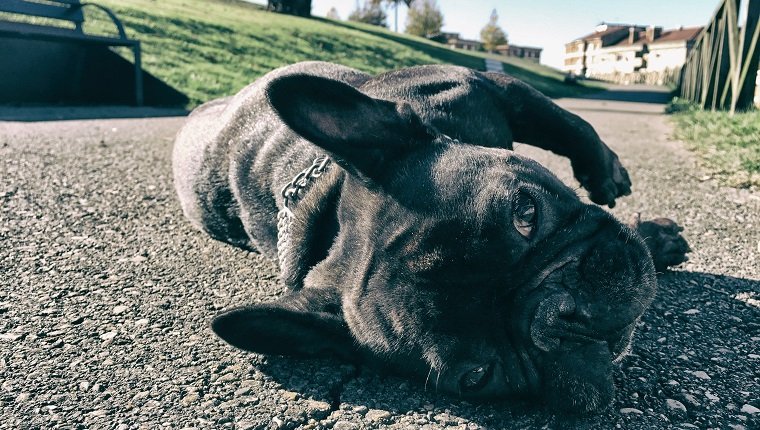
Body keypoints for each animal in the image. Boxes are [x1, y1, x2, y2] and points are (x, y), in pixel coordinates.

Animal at [174, 62, 688, 414]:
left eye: (525, 212)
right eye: (478, 375)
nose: (553, 317)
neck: (327, 195)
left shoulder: (492, 88)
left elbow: (572, 125)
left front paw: (611, 182)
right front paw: (654, 238)